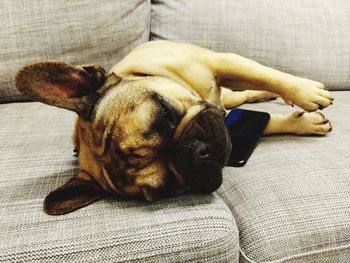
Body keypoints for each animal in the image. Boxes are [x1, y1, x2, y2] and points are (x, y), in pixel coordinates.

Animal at [15, 40, 334, 214]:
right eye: (167, 188)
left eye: (165, 113)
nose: (198, 152)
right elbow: (264, 123)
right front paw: (305, 123)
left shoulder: (222, 62)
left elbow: (269, 76)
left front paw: (305, 94)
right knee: (238, 99)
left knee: (249, 88)